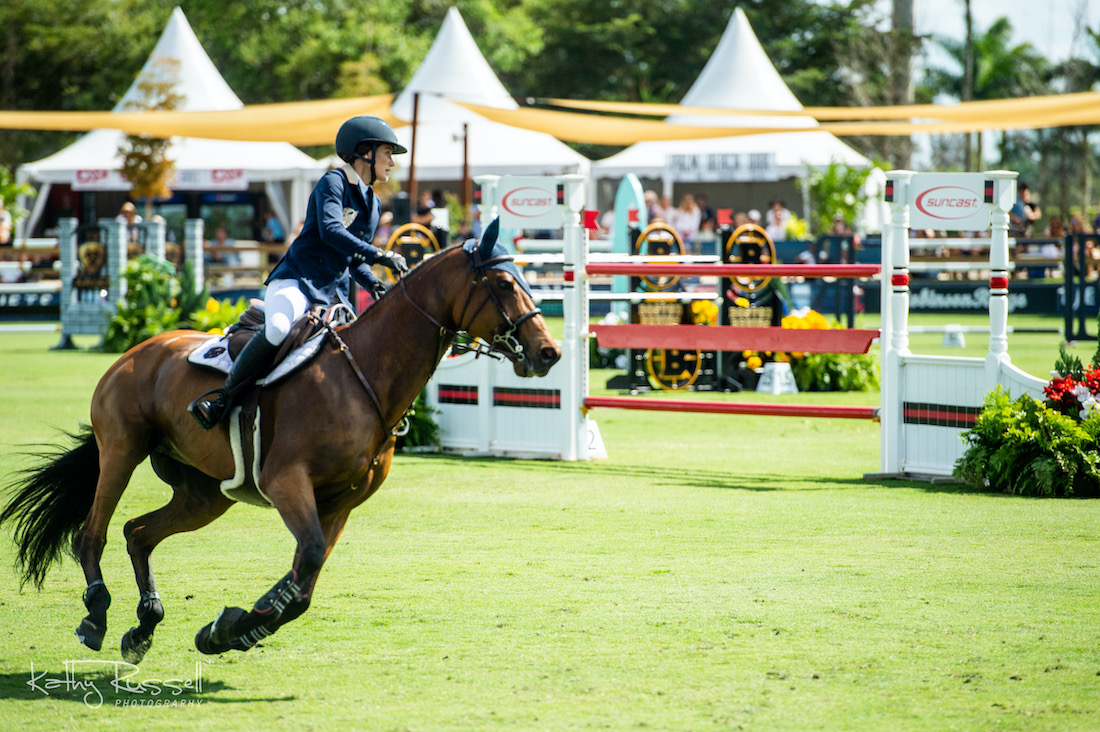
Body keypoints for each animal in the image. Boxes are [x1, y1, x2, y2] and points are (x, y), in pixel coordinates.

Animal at [2, 220, 558, 660]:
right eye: (503, 283)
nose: (548, 353)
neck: (364, 376)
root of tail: (138, 350)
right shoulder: (286, 482)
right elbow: (306, 562)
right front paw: (235, 627)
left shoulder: (340, 502)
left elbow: (303, 584)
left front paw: (229, 630)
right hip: (122, 451)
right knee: (91, 534)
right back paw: (96, 615)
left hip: (205, 495)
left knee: (138, 532)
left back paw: (145, 624)